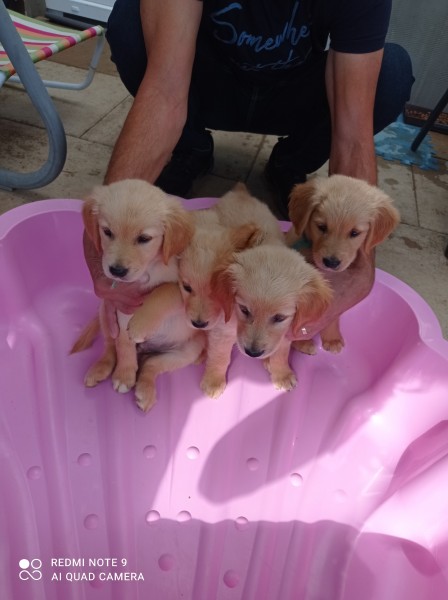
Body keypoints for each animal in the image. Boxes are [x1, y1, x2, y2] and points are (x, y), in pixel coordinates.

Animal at [72, 179, 195, 395]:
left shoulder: (188, 289)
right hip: (105, 312)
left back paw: (145, 391)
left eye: (144, 238)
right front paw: (124, 374)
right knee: (110, 347)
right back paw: (100, 368)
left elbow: (164, 290)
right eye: (107, 232)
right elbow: (123, 345)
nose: (117, 270)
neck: (147, 270)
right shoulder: (120, 306)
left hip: (187, 352)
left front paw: (140, 324)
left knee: (152, 365)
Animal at [211, 244, 332, 391]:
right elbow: (219, 355)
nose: (252, 353)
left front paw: (282, 375)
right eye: (244, 310)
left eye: (279, 318)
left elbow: (280, 355)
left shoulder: (284, 334)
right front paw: (213, 382)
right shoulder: (223, 328)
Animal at [286, 174, 400, 354]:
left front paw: (332, 338)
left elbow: (332, 316)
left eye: (354, 233)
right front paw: (302, 341)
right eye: (321, 227)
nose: (331, 262)